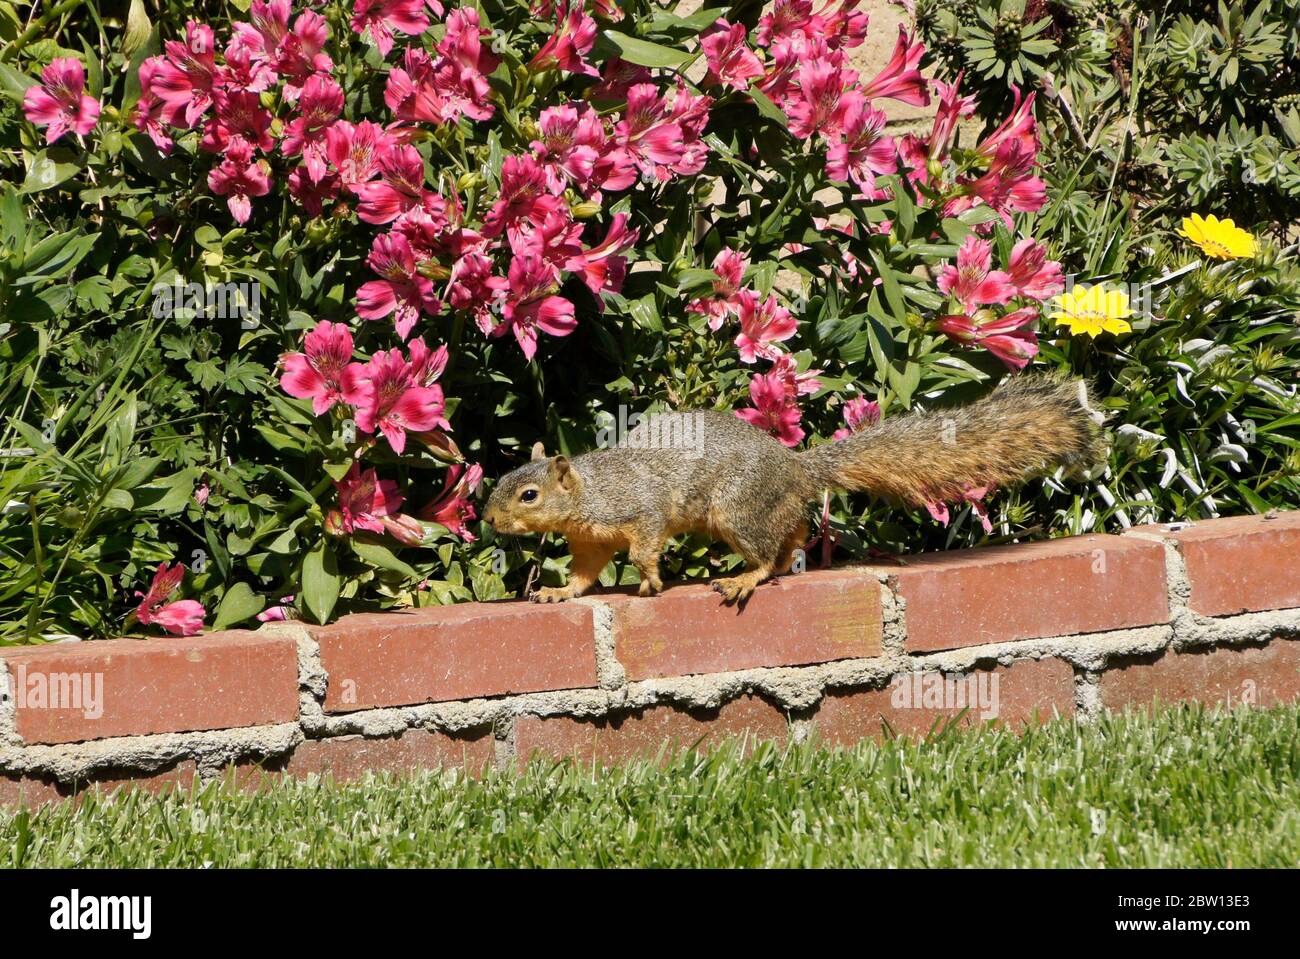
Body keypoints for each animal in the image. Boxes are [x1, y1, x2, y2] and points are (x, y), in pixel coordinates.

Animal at [483, 374, 1103, 604]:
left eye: (529, 496)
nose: (488, 520)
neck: (588, 494)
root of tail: (795, 470)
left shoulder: (641, 511)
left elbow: (645, 546)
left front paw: (652, 580)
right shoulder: (588, 542)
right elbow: (587, 574)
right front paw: (559, 593)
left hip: (736, 510)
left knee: (767, 553)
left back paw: (744, 577)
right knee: (792, 535)